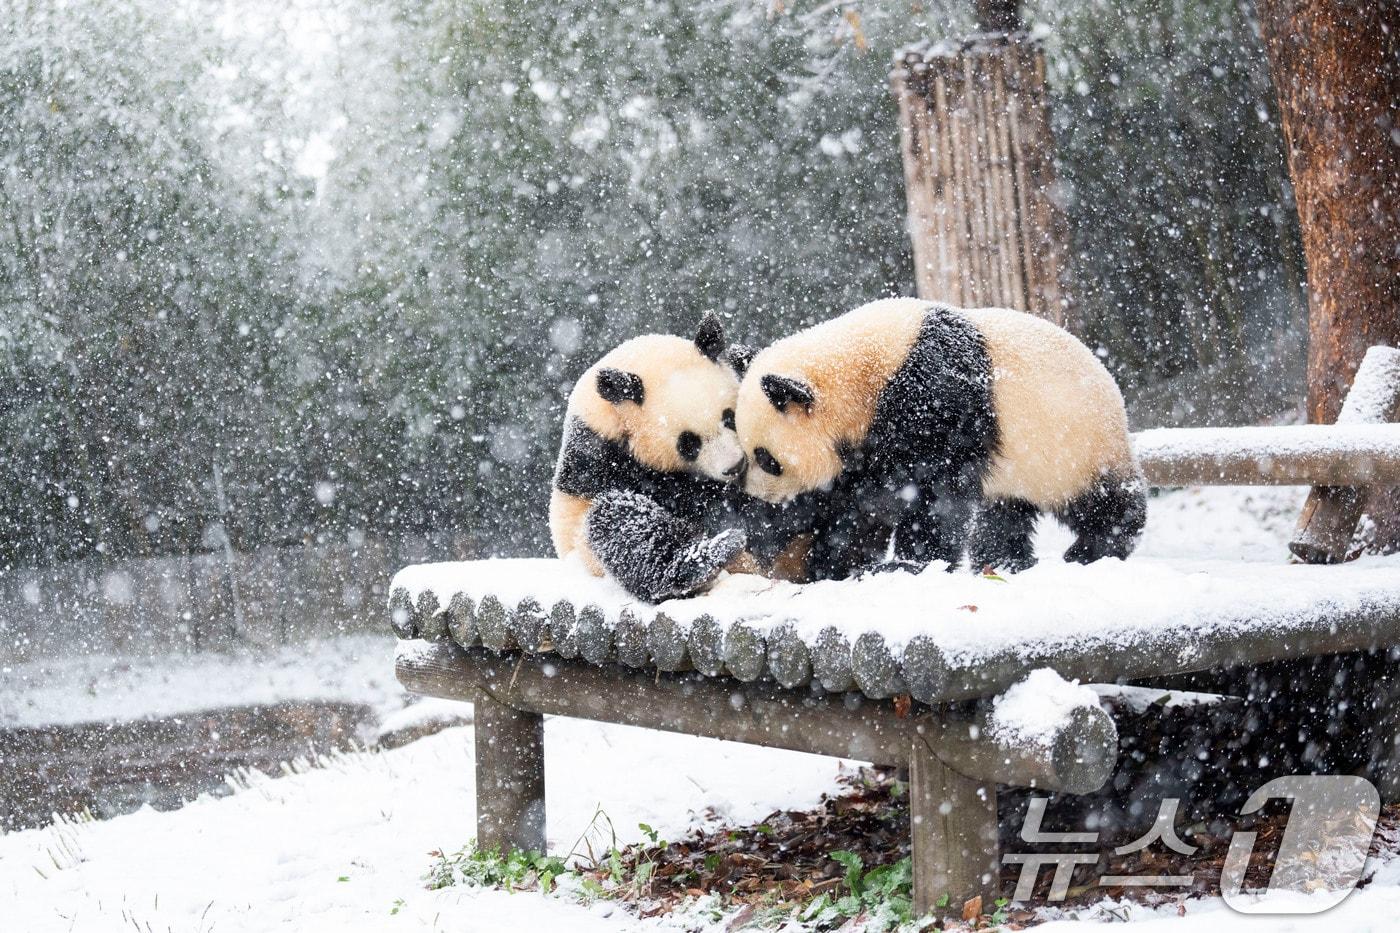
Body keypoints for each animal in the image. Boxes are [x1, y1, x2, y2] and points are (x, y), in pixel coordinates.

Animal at [546, 316, 756, 599]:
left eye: (730, 417)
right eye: (688, 443)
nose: (734, 466)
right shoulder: (599, 455)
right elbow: (672, 495)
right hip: (585, 545)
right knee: (622, 524)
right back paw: (707, 558)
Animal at [733, 295, 1148, 574]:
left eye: (767, 459)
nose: (758, 495)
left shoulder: (936, 396)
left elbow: (932, 490)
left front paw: (909, 563)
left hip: (1074, 441)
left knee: (1102, 500)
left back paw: (1095, 547)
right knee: (1004, 512)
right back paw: (1003, 560)